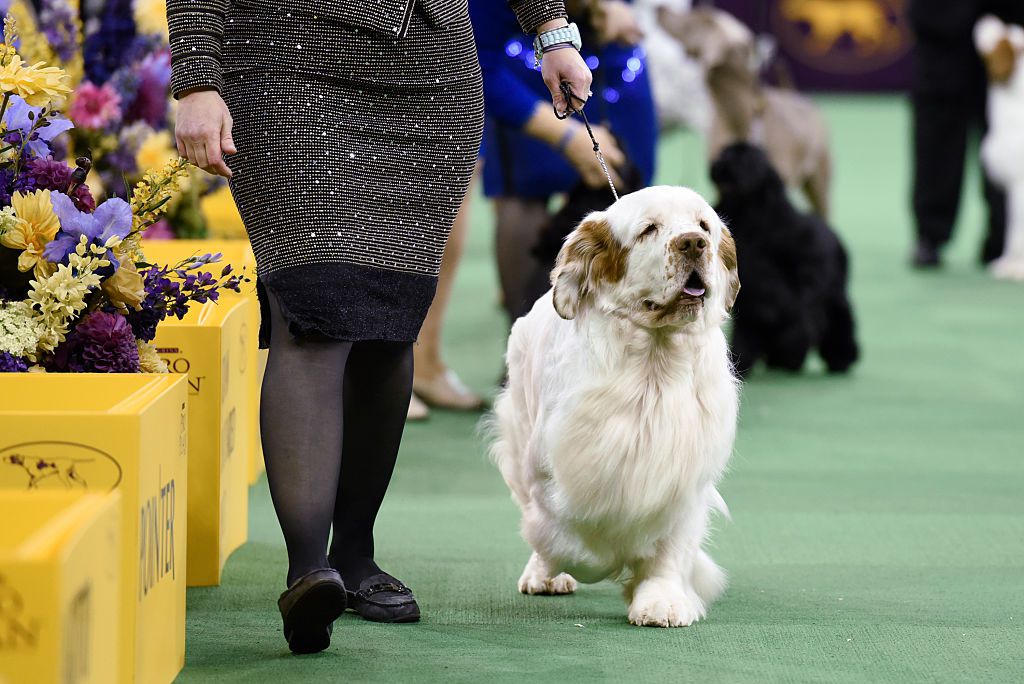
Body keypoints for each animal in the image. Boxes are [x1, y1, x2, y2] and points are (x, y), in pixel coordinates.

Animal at [487, 185, 737, 626]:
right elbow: (566, 538)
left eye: (704, 225)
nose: (693, 243)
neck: (654, 367)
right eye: (649, 229)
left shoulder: (684, 476)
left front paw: (660, 600)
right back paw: (543, 576)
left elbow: (670, 548)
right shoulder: (553, 470)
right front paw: (603, 561)